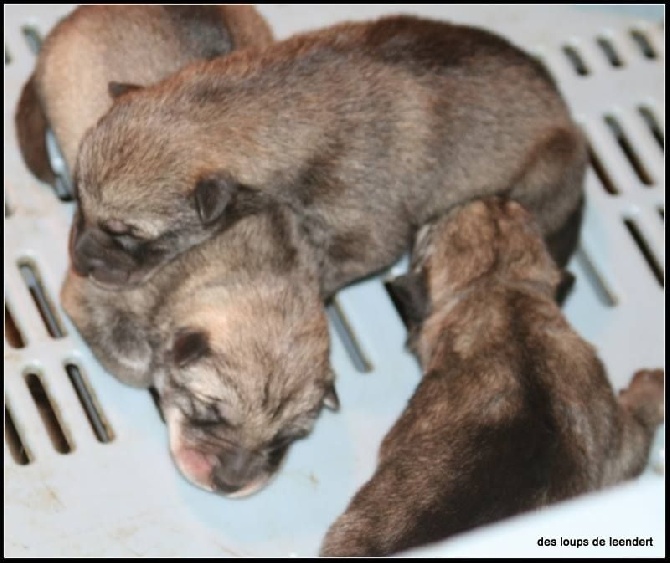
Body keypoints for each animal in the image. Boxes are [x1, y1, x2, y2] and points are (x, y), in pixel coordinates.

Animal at [71, 14, 588, 296]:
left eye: (127, 234)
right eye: (77, 202)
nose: (79, 263)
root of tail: (567, 115)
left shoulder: (363, 229)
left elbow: (335, 263)